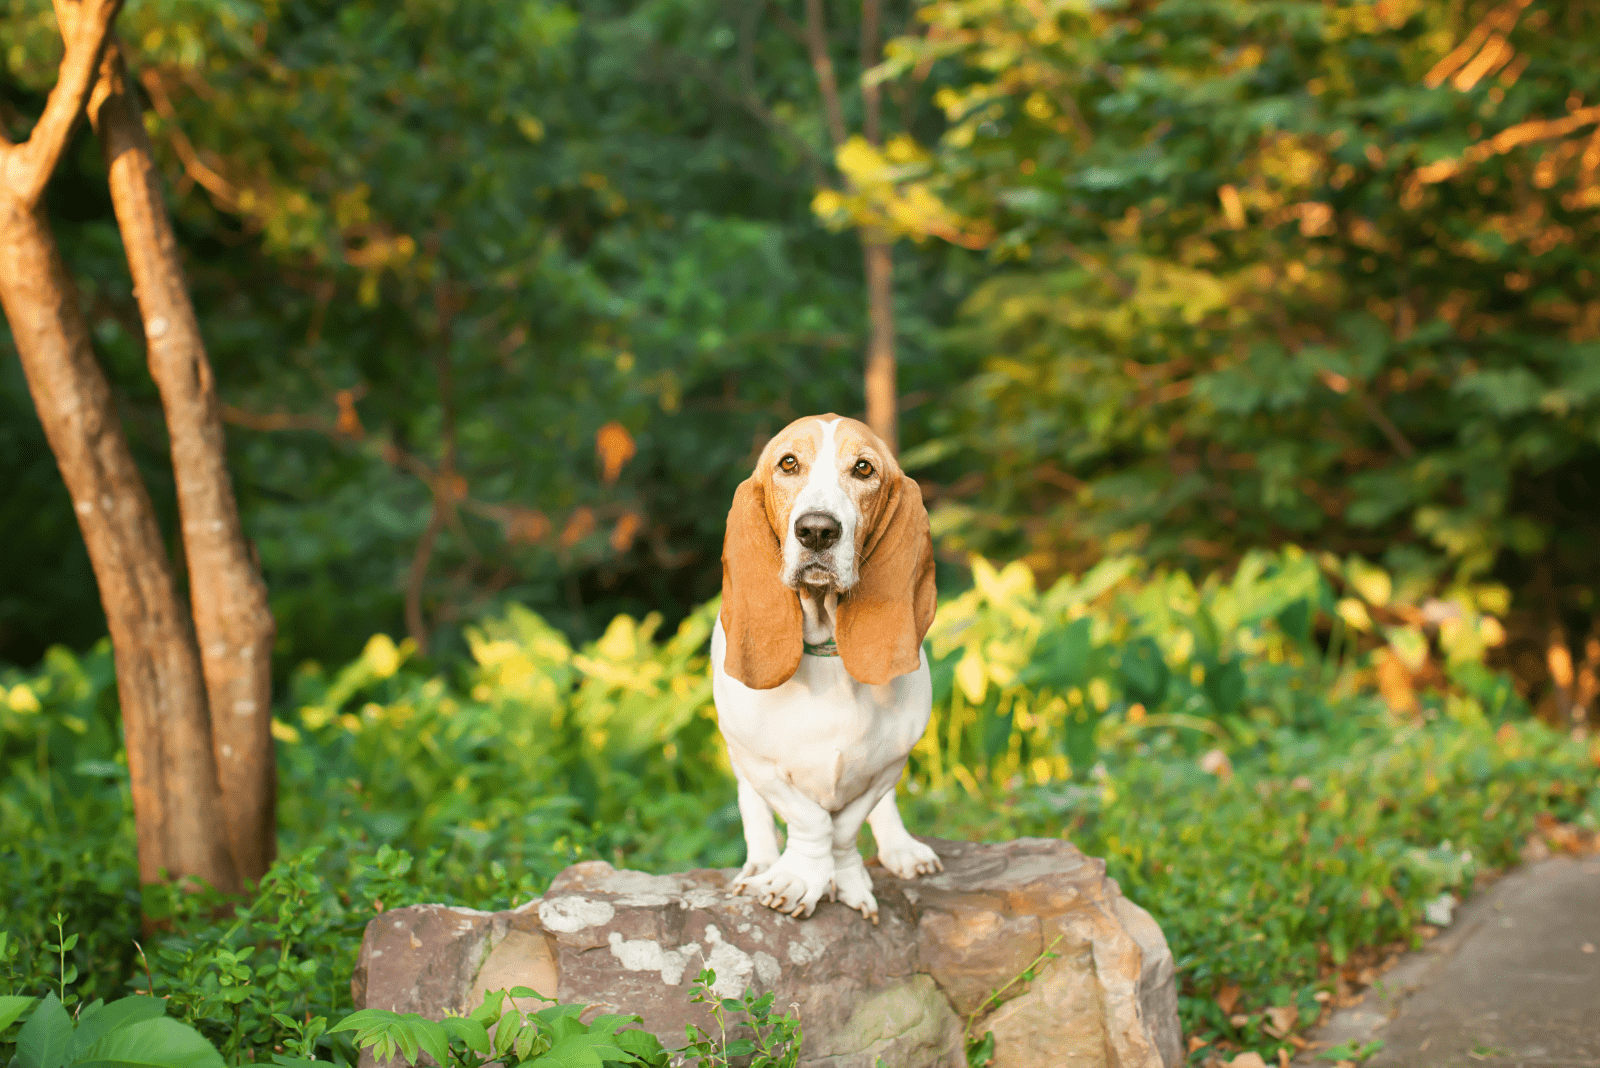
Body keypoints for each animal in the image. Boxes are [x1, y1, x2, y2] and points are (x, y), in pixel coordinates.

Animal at [710, 412, 934, 920]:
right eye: (788, 463)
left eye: (864, 468)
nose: (816, 530)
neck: (828, 655)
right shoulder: (760, 763)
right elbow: (810, 821)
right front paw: (796, 879)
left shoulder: (887, 767)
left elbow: (846, 827)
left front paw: (844, 879)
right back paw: (759, 866)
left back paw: (902, 849)